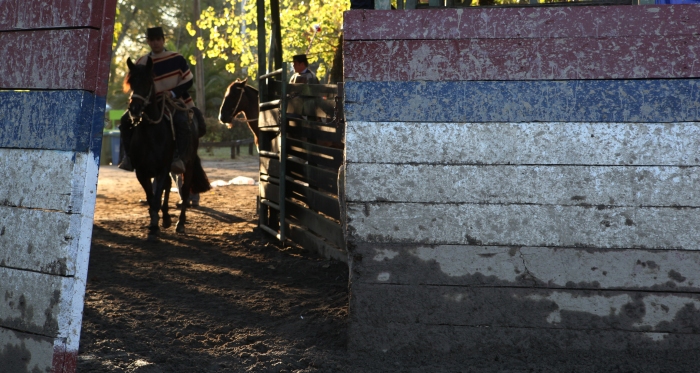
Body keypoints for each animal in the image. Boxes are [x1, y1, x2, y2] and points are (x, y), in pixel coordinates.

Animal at [125, 56, 211, 237]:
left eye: (148, 82)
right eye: (131, 82)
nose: (134, 109)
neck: (151, 135)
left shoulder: (162, 169)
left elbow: (157, 196)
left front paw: (157, 225)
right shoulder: (141, 172)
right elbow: (152, 197)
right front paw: (155, 223)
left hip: (188, 164)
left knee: (184, 190)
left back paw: (180, 223)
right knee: (168, 186)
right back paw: (166, 218)